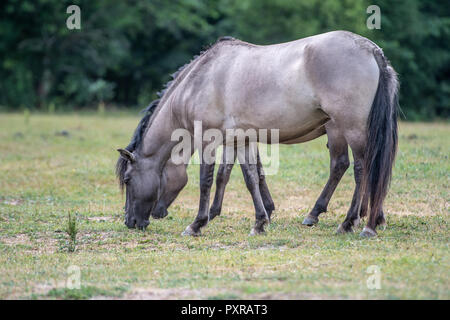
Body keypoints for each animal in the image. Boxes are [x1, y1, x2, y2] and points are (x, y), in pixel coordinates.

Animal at [115, 31, 398, 238]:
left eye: (127, 180)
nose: (130, 221)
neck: (200, 81)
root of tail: (371, 50)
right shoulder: (241, 140)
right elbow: (251, 177)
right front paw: (260, 222)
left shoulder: (208, 140)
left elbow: (207, 179)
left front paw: (197, 224)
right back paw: (370, 219)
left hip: (350, 129)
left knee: (360, 169)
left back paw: (352, 223)